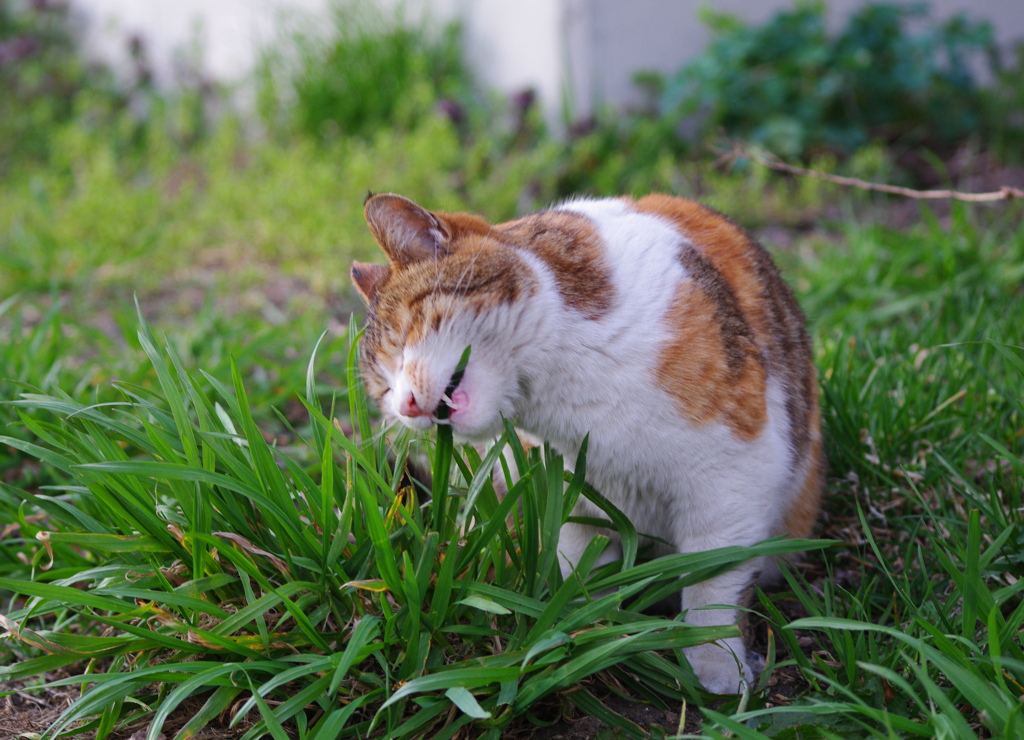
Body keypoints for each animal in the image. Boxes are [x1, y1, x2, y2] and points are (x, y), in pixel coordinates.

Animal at [352, 192, 823, 695]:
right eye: (382, 388)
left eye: (404, 336)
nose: (405, 406)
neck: (564, 384)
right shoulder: (564, 486)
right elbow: (580, 564)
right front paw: (585, 630)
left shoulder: (733, 471)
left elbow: (712, 575)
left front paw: (713, 658)